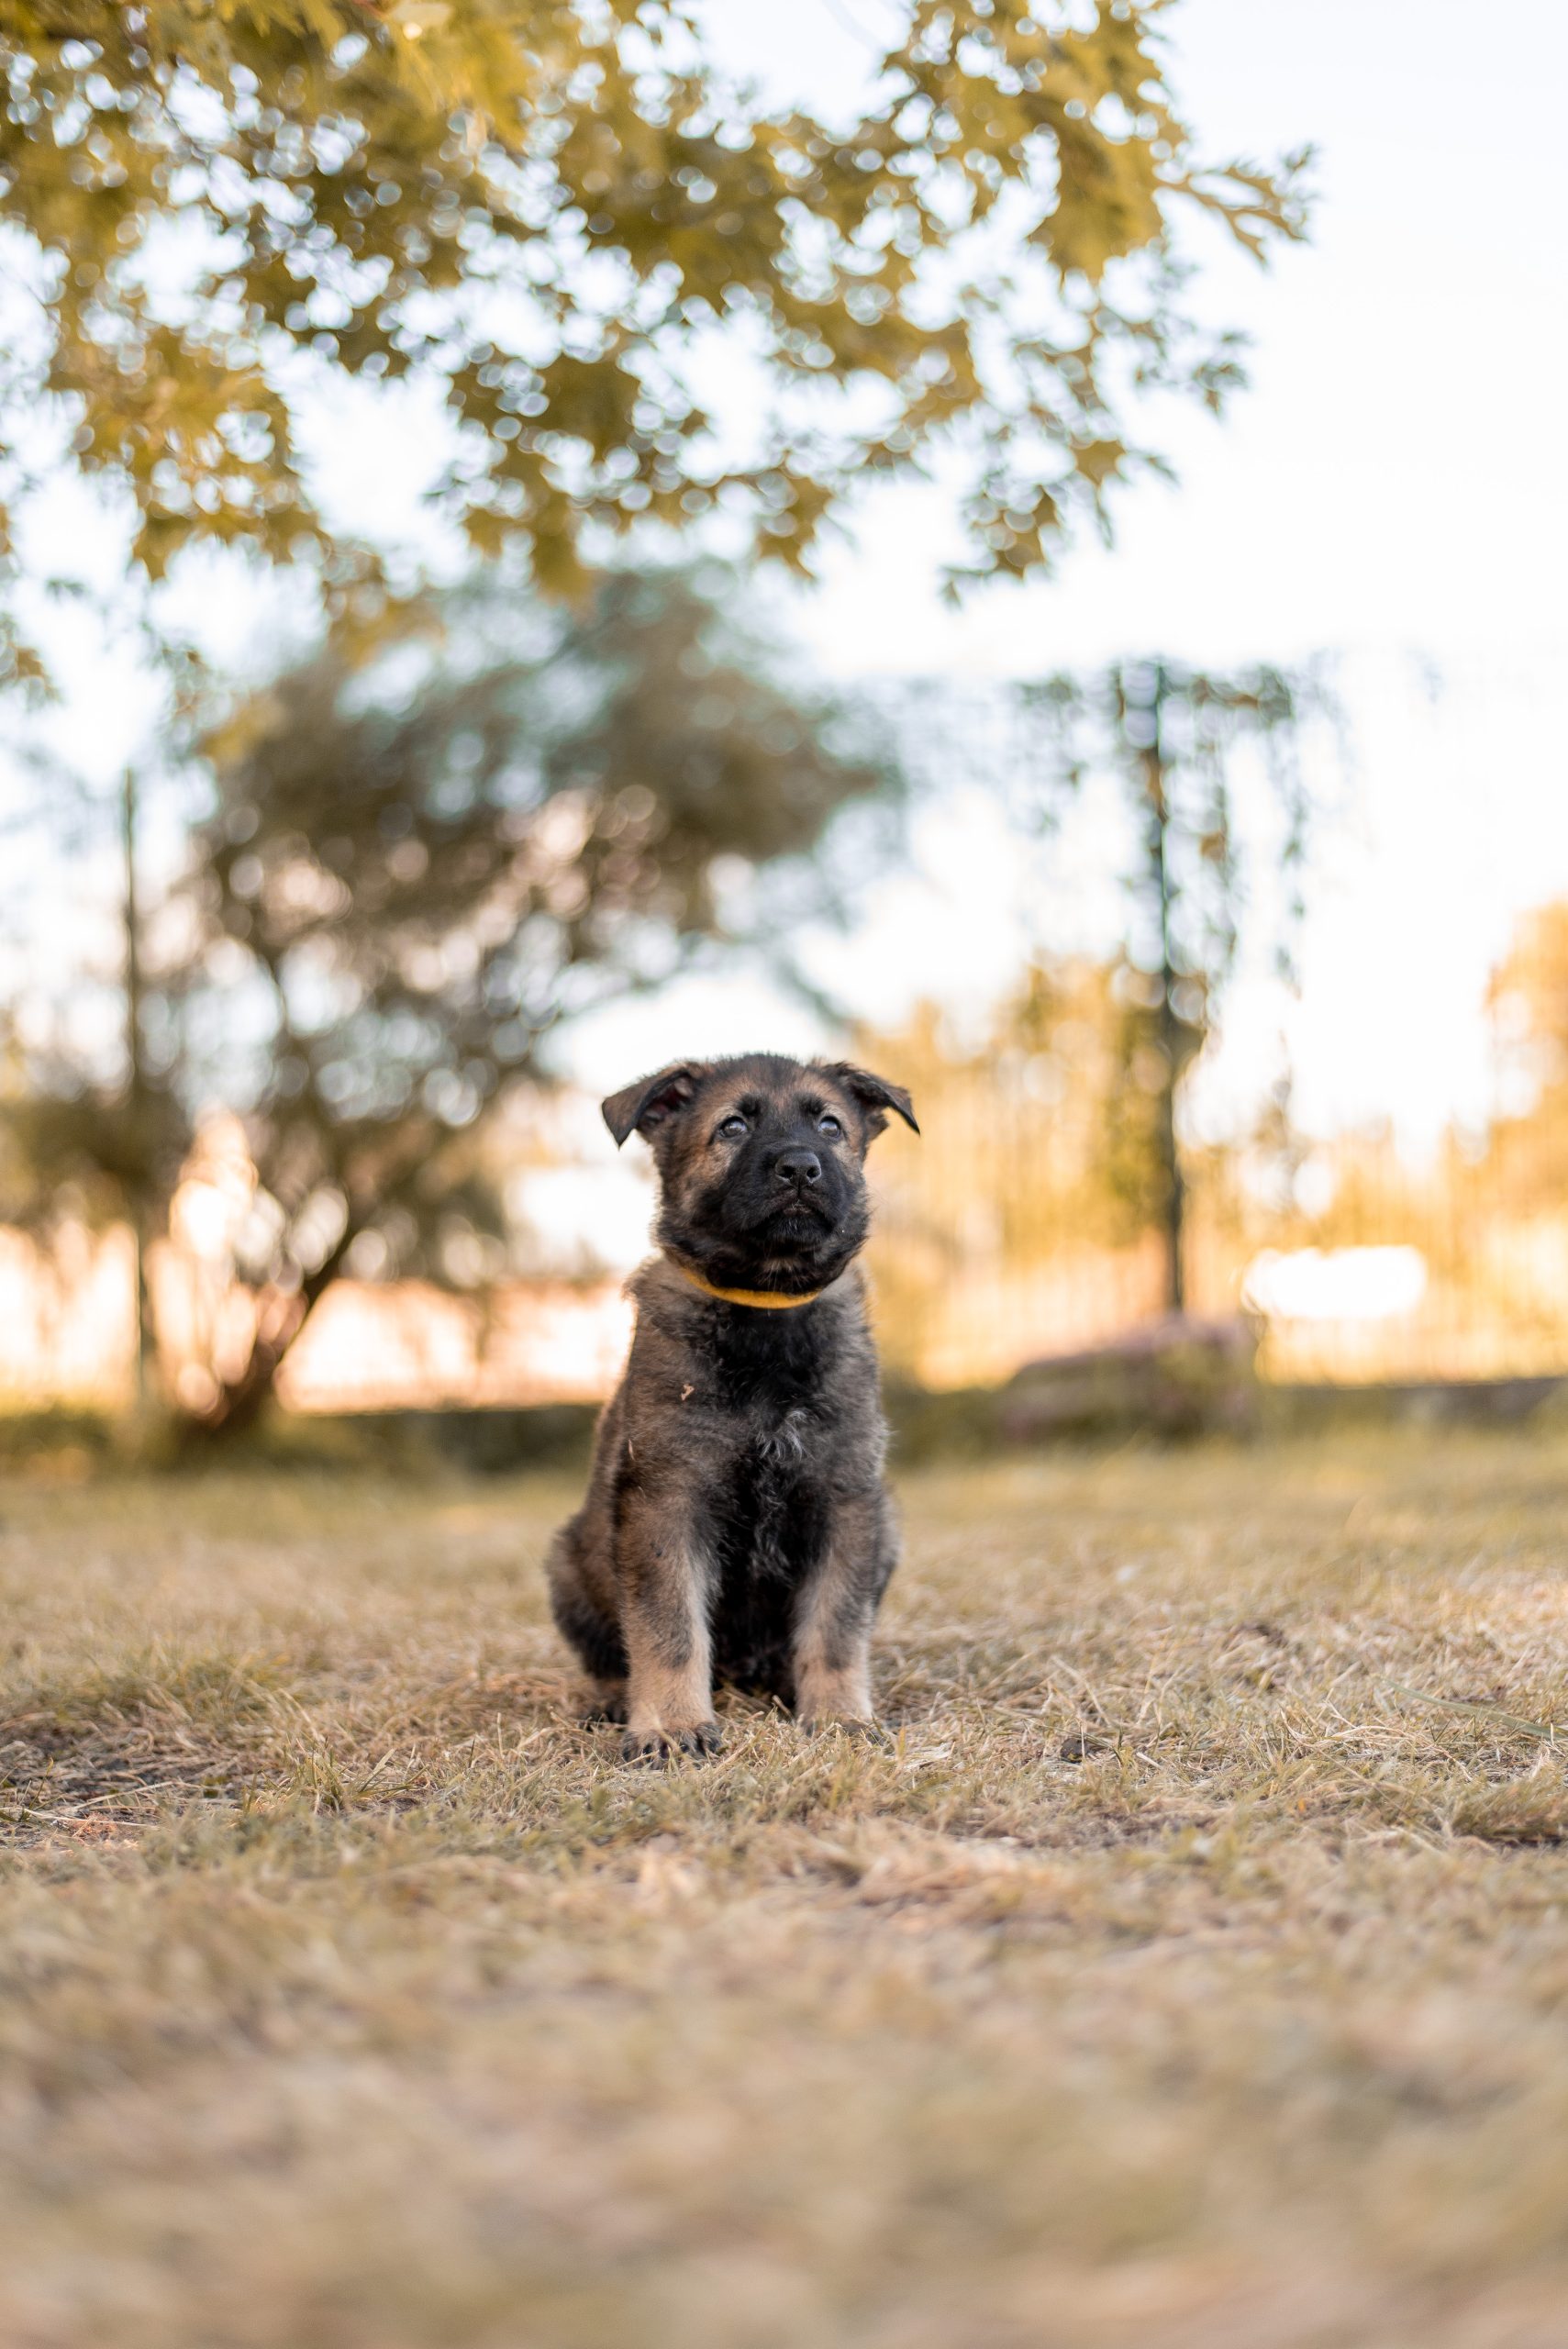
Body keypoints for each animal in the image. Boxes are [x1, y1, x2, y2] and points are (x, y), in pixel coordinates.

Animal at [546, 1054, 918, 1762]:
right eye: (733, 1126)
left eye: (830, 1125)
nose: (799, 1167)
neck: (765, 1309)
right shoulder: (668, 1501)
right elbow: (667, 1628)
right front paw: (670, 1726)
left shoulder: (845, 1502)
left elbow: (834, 1627)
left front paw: (838, 1716)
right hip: (570, 1559)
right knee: (611, 1654)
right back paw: (614, 1700)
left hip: (887, 1534)